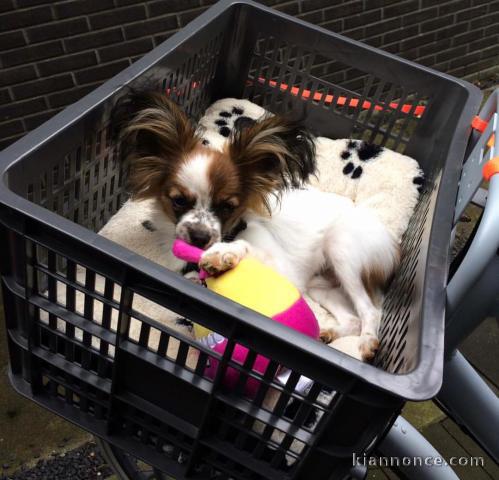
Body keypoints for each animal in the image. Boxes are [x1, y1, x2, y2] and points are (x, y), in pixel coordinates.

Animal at [115, 90, 400, 360]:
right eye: (179, 201)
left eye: (227, 206)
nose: (199, 237)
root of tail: (393, 244)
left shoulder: (282, 269)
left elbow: (245, 247)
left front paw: (223, 254)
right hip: (320, 286)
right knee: (352, 318)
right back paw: (326, 334)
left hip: (342, 250)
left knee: (370, 310)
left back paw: (367, 342)